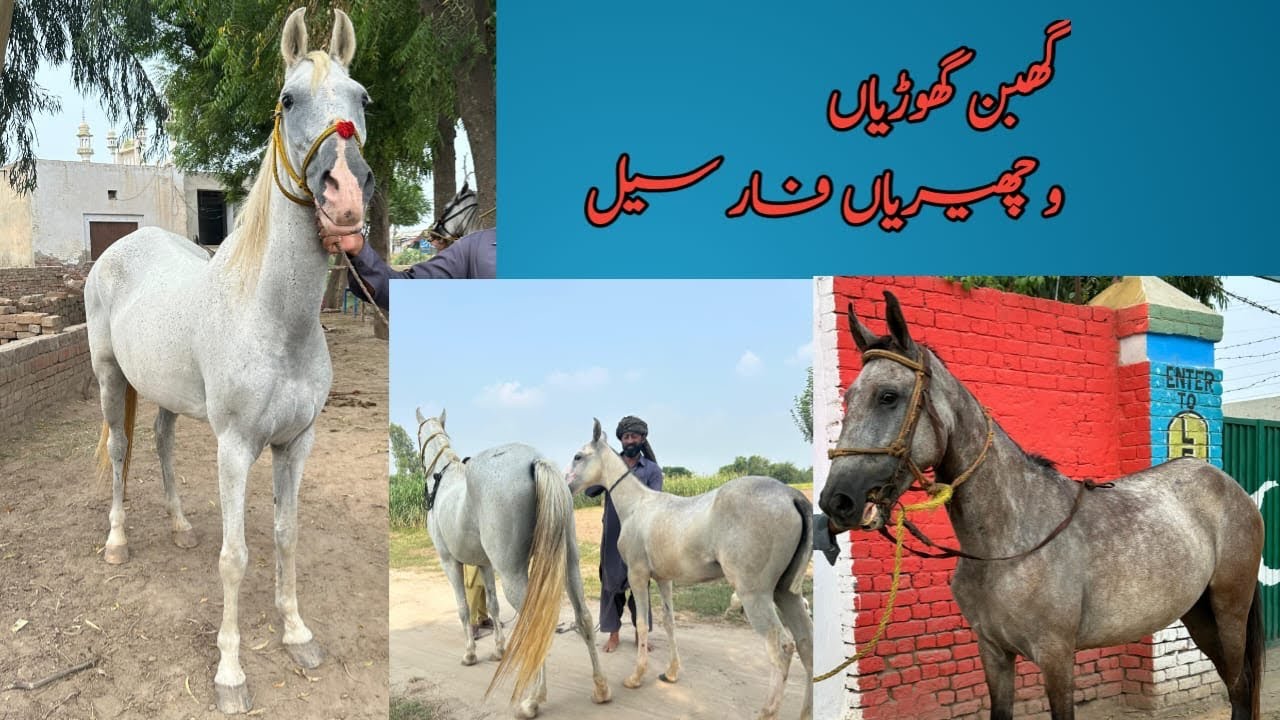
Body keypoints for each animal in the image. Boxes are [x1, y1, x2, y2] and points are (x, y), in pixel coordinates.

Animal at [84, 8, 374, 714]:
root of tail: (120, 249)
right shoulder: (236, 448)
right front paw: (231, 674)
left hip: (163, 393)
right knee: (122, 452)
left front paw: (297, 636)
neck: (272, 319)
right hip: (110, 378)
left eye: (363, 100)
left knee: (160, 443)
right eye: (288, 99)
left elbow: (286, 534)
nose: (347, 196)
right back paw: (118, 541)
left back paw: (181, 526)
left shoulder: (296, 443)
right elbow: (235, 557)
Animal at [416, 409, 611, 718]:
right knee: (584, 618)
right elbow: (493, 605)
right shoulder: (484, 564)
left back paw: (532, 700)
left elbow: (462, 609)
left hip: (513, 574)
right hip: (570, 564)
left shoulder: (449, 562)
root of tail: (535, 461)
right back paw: (601, 688)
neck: (444, 481)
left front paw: (470, 654)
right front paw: (498, 649)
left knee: (536, 624)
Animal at [566, 419, 814, 720]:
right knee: (807, 644)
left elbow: (641, 623)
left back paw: (767, 711)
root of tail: (791, 495)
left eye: (578, 456)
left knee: (782, 649)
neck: (638, 506)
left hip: (755, 595)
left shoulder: (637, 576)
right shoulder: (664, 580)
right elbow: (669, 622)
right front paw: (671, 673)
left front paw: (636, 677)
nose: (567, 486)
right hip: (785, 593)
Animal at [818, 291, 1265, 720]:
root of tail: (1231, 488)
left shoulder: (1056, 657)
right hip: (1198, 613)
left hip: (1229, 609)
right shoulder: (994, 653)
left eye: (888, 396)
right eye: (849, 397)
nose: (836, 501)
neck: (1007, 544)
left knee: (1239, 687)